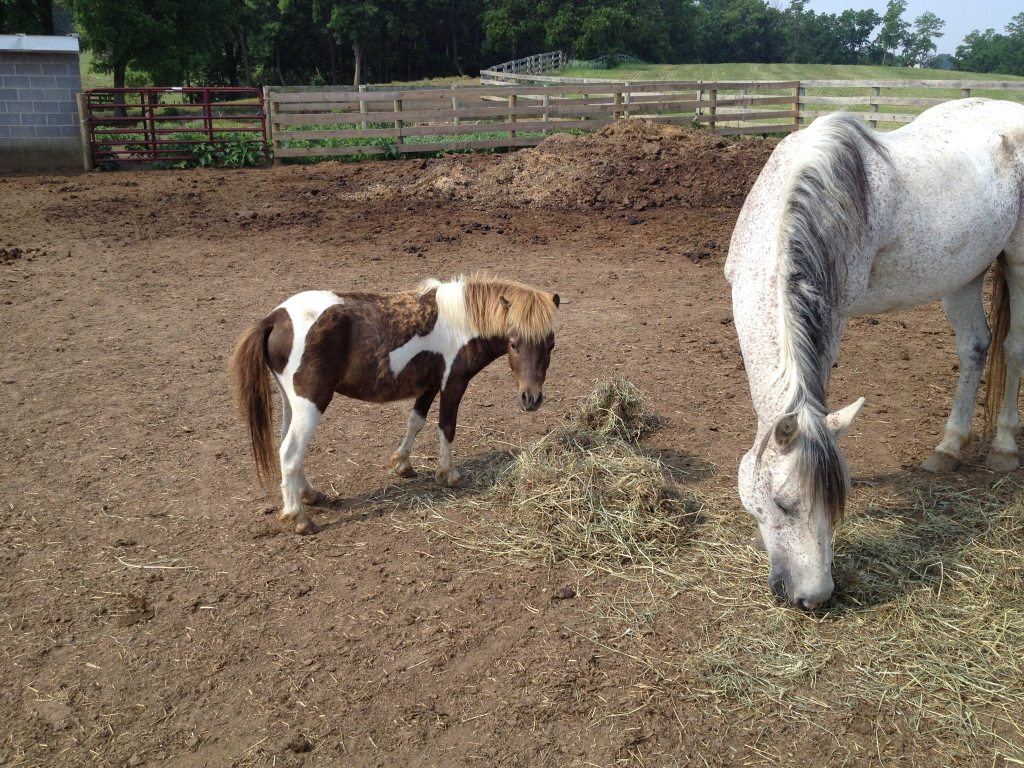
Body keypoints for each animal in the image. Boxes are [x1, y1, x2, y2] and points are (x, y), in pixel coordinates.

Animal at [229, 275, 560, 534]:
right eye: (514, 344)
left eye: (551, 344)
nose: (531, 399)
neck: (461, 323)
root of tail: (274, 319)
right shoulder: (453, 383)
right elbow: (447, 427)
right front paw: (448, 475)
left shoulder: (429, 385)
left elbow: (416, 421)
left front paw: (403, 464)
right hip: (311, 403)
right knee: (290, 453)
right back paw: (299, 518)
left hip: (292, 404)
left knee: (289, 449)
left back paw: (310, 495)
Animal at [725, 98, 1024, 610]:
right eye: (783, 504)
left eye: (837, 498)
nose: (816, 597)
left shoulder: (833, 316)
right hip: (962, 274)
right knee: (975, 347)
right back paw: (948, 448)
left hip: (1020, 261)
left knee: (1014, 347)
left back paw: (1004, 447)